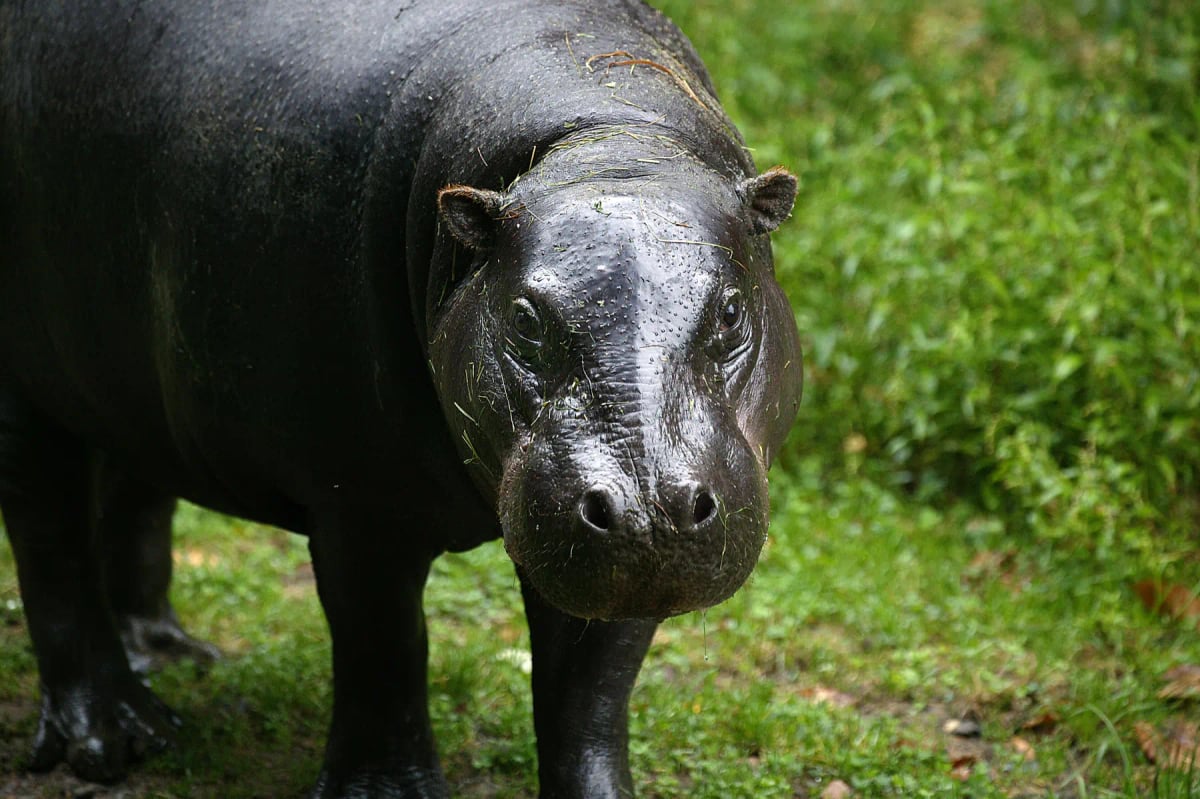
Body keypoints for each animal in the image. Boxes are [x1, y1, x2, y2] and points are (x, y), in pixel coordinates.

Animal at [0, 1, 802, 796]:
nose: (647, 507)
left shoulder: (620, 552)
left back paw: (166, 658)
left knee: (134, 487)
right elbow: (384, 646)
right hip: (29, 388)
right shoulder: (360, 502)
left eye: (732, 310)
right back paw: (112, 740)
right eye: (524, 317)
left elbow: (592, 685)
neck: (605, 142)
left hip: (128, 372)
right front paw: (385, 791)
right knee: (51, 540)